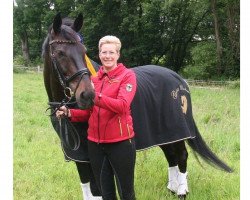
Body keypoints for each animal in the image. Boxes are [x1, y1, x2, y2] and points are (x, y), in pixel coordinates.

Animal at [42, 13, 232, 199]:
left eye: (84, 52)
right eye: (60, 53)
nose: (87, 95)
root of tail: (178, 79)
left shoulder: (89, 155)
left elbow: (96, 190)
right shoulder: (78, 156)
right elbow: (86, 186)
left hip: (178, 132)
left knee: (181, 155)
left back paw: (181, 192)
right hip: (163, 134)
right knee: (171, 155)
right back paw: (171, 189)